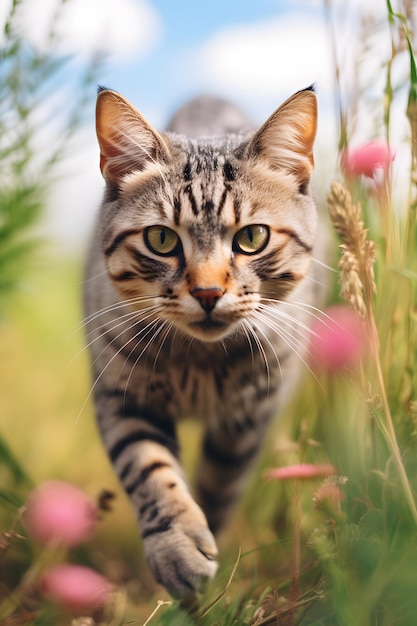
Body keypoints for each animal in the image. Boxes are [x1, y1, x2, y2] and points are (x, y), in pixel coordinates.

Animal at [84, 85, 324, 604]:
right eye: (161, 238)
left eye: (253, 237)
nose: (209, 292)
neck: (198, 358)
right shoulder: (122, 395)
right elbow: (149, 467)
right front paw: (176, 546)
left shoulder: (249, 419)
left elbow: (218, 487)